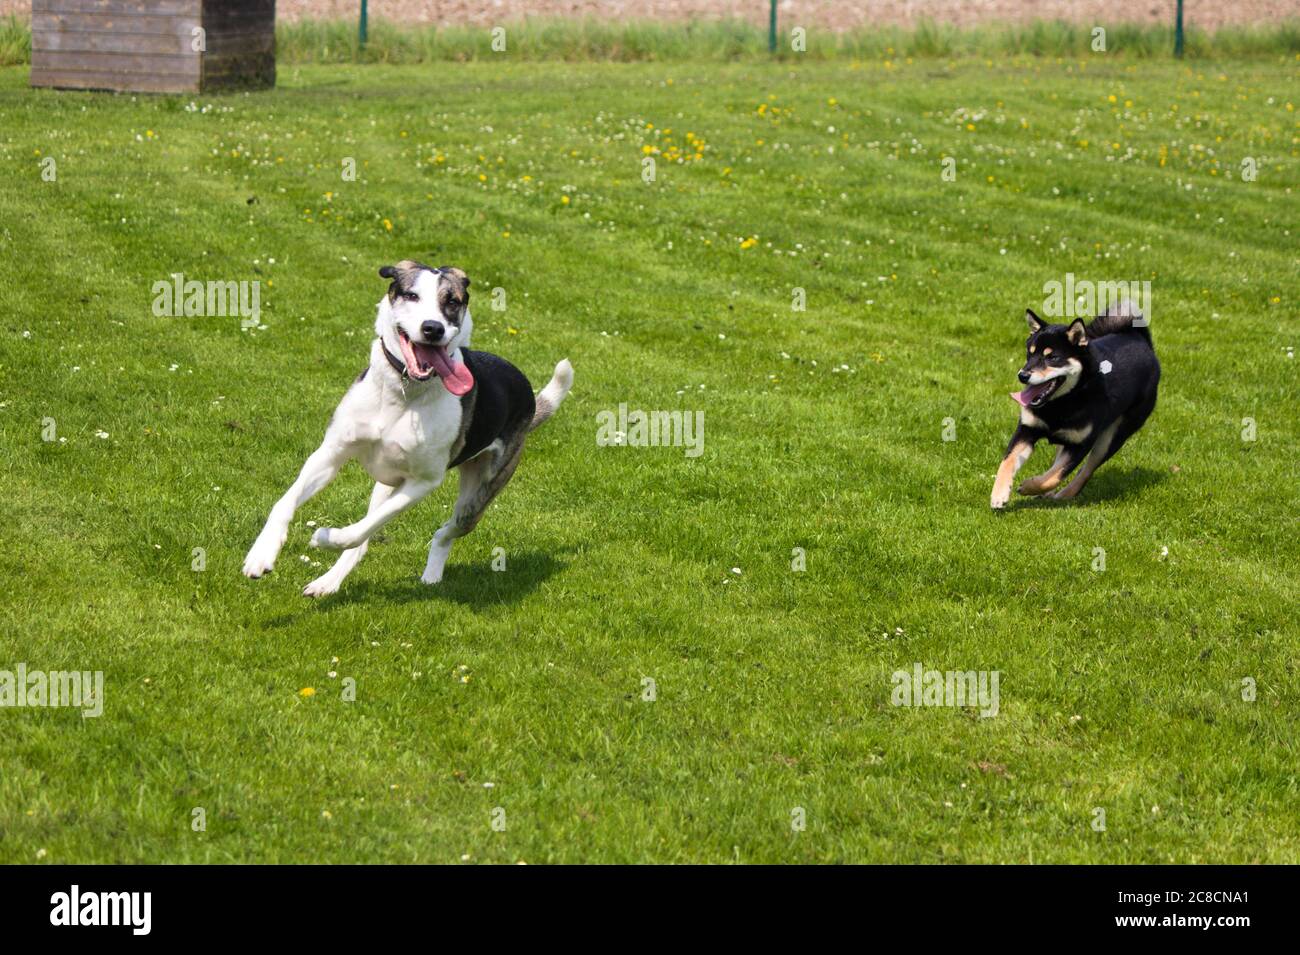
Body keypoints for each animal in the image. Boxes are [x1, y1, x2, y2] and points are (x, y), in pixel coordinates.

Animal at [244, 261, 569, 597]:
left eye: (452, 301)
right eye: (412, 295)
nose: (433, 328)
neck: (402, 392)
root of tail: (528, 392)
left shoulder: (422, 482)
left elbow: (362, 529)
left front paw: (324, 537)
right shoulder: (330, 454)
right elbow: (286, 502)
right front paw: (262, 553)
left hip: (479, 495)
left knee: (443, 531)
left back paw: (431, 575)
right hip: (386, 485)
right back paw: (328, 582)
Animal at [987, 302, 1164, 511]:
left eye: (1052, 357)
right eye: (1029, 354)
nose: (1022, 375)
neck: (1062, 402)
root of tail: (1140, 340)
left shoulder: (1081, 444)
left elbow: (1057, 475)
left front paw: (1030, 486)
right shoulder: (1027, 430)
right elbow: (1008, 461)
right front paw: (999, 494)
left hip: (1113, 437)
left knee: (1086, 470)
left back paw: (1065, 494)